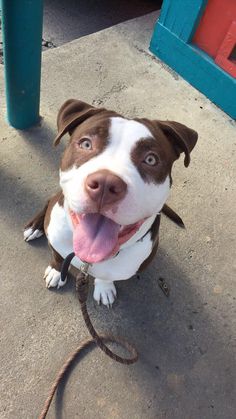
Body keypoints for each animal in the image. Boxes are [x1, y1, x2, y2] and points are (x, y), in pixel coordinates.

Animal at [24, 99, 197, 306]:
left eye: (150, 159)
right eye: (86, 143)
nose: (106, 184)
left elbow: (106, 277)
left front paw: (104, 288)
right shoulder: (57, 240)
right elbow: (57, 256)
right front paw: (57, 271)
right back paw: (35, 227)